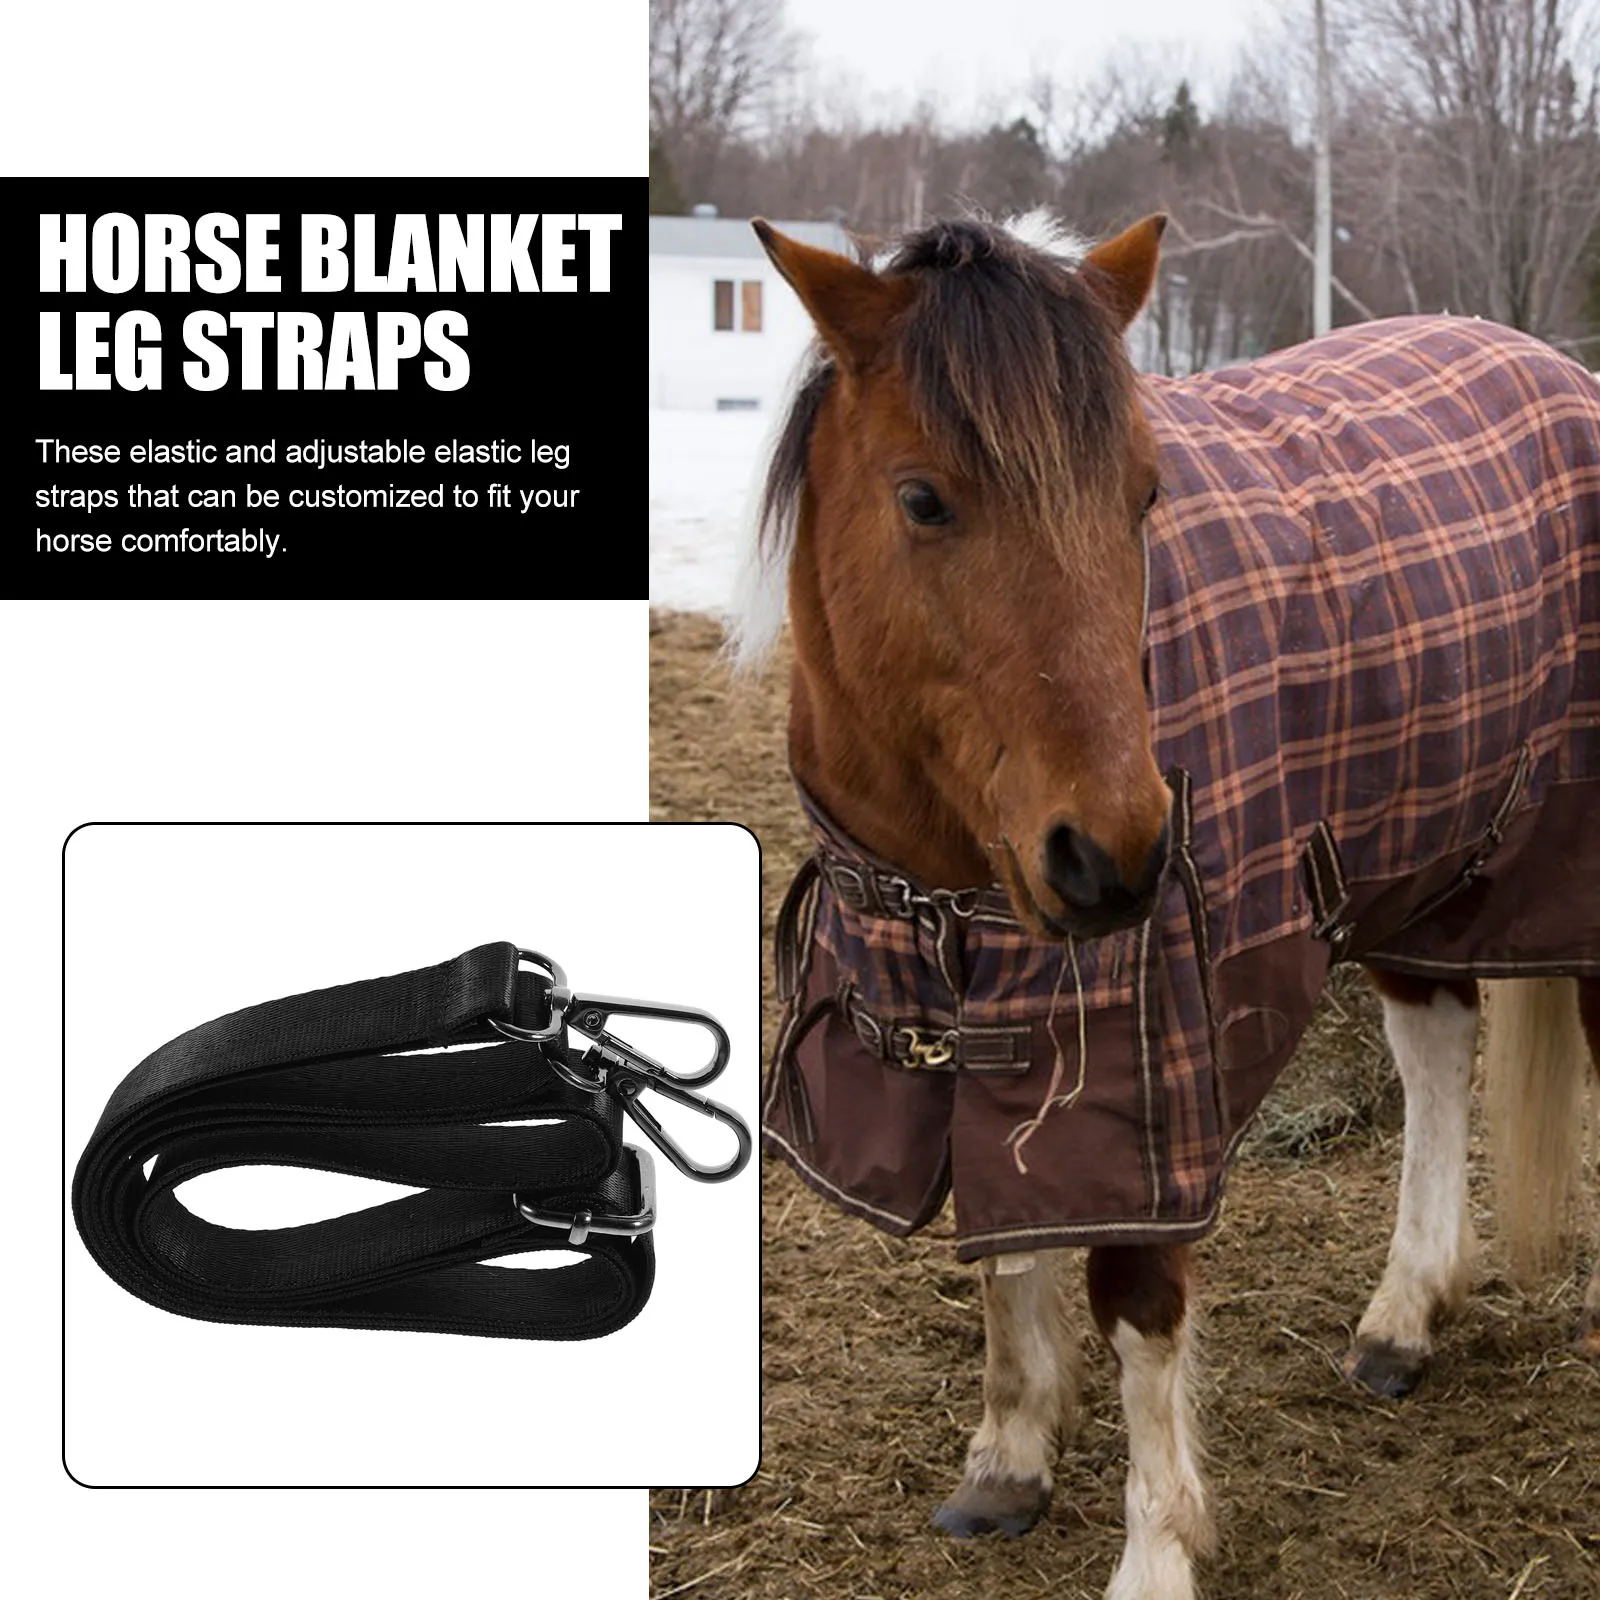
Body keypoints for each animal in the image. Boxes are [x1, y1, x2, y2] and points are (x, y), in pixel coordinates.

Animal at [740, 209, 1600, 1600]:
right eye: (922, 498)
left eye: (1143, 494)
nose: (1119, 855)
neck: (945, 866)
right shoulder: (984, 1014)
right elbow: (1008, 1240)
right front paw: (1010, 1456)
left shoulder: (1144, 1052)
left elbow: (1137, 1295)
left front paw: (1154, 1550)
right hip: (1416, 863)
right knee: (1435, 1042)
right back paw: (1405, 1313)